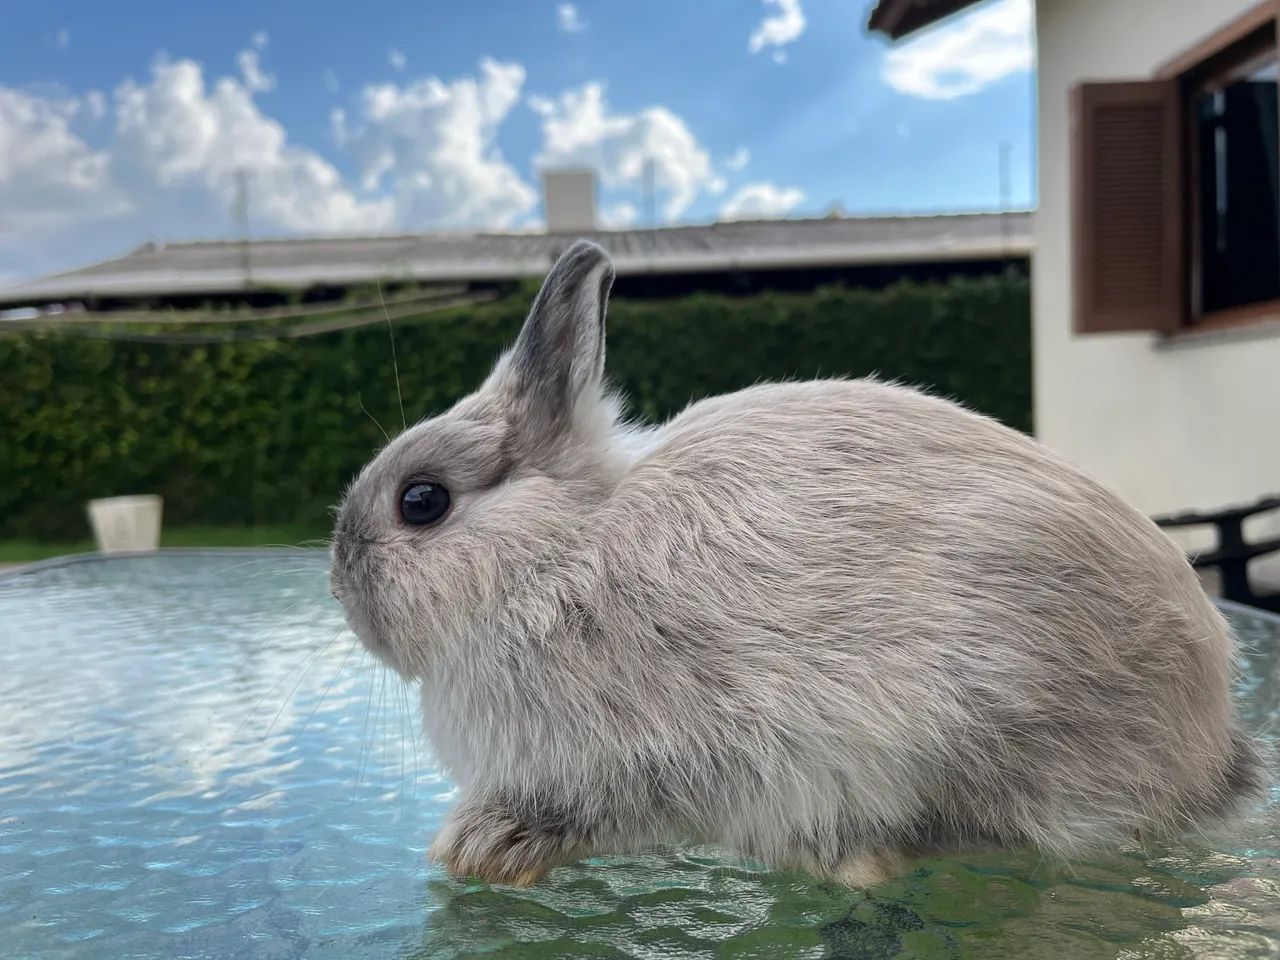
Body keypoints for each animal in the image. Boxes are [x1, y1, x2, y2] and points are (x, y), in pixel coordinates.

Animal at [329, 240, 1262, 890]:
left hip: (973, 725)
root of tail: (1211, 755)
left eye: (422, 501)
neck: (555, 555)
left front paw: (485, 845)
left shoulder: (647, 761)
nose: (338, 583)